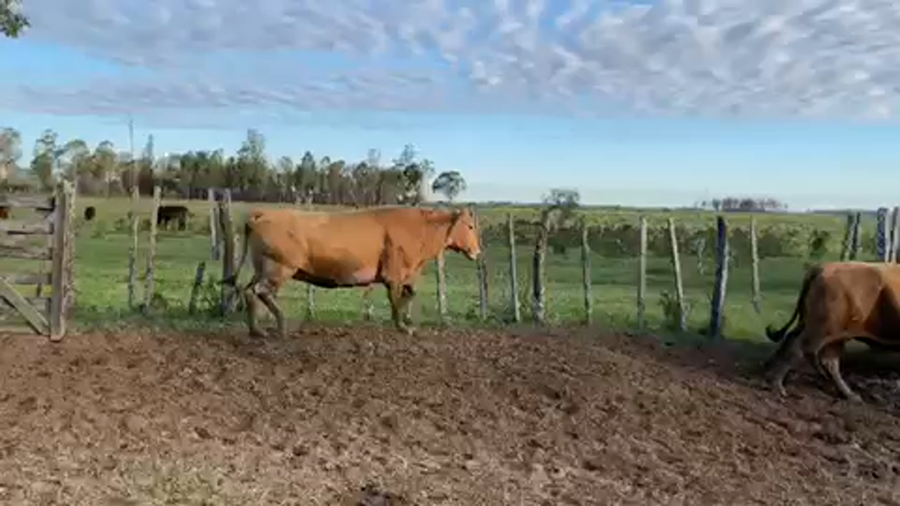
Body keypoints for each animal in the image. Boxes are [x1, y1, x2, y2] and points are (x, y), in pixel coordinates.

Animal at [224, 206, 481, 338]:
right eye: (470, 226)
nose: (477, 251)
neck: (419, 229)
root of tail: (263, 213)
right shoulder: (394, 275)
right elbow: (396, 301)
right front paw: (403, 327)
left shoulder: (407, 276)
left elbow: (409, 295)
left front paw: (408, 323)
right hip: (278, 268)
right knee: (259, 292)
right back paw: (281, 325)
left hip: (263, 268)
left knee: (248, 291)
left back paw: (257, 330)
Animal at [763, 261, 900, 401]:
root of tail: (823, 268)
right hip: (823, 330)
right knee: (800, 347)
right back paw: (778, 386)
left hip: (829, 332)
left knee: (822, 357)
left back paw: (849, 394)